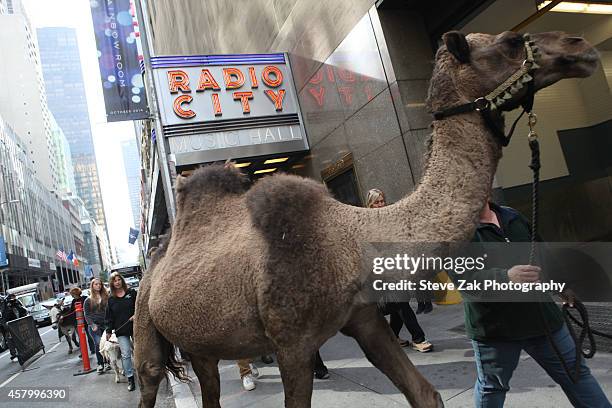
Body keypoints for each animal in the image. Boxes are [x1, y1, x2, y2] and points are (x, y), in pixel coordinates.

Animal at [135, 30, 596, 406]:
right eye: (511, 42)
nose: (582, 48)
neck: (351, 236)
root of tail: (158, 257)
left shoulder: (364, 319)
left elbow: (425, 394)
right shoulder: (291, 343)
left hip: (199, 344)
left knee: (209, 386)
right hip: (146, 318)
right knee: (150, 375)